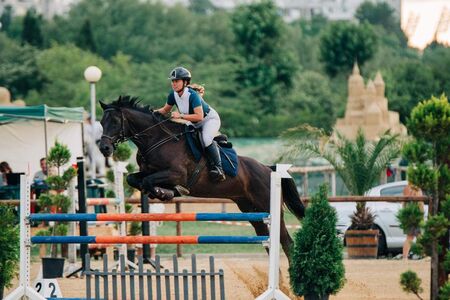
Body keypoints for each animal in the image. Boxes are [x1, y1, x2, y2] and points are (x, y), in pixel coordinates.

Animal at [99, 96, 306, 262]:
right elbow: (134, 180)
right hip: (251, 209)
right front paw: (162, 192)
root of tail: (267, 168)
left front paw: (165, 192)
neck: (156, 140)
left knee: (286, 242)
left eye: (115, 121)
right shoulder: (148, 172)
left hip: (268, 207)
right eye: (101, 122)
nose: (104, 148)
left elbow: (150, 182)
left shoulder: (176, 174)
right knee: (267, 240)